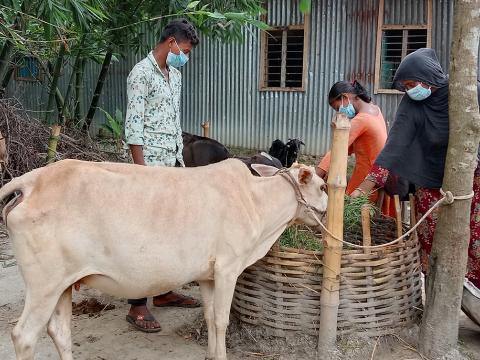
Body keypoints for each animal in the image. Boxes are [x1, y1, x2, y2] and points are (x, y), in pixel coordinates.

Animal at [0, 159, 326, 360]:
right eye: (322, 187)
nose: (330, 203)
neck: (256, 202)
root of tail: (33, 179)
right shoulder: (228, 268)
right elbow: (221, 320)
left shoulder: (208, 275)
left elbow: (210, 317)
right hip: (44, 285)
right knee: (24, 335)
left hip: (63, 285)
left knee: (59, 332)